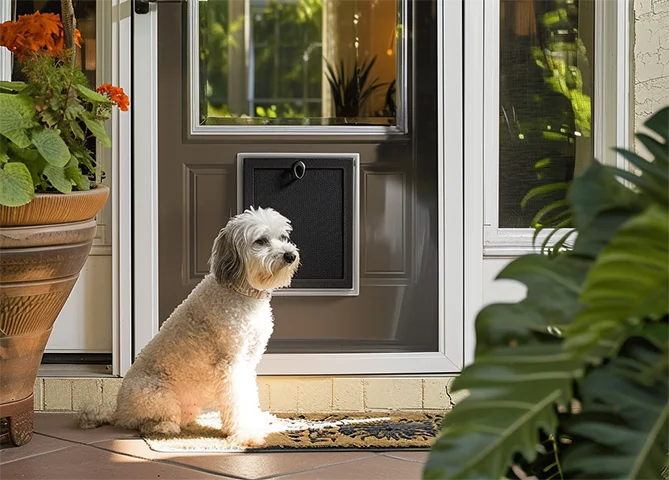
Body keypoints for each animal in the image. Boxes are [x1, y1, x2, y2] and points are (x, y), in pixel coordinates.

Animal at [79, 207, 298, 446]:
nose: (290, 255)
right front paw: (245, 433)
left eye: (283, 237)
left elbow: (250, 395)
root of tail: (118, 412)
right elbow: (237, 399)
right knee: (148, 424)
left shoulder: (248, 361)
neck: (239, 290)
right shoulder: (231, 363)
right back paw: (165, 428)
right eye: (261, 241)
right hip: (158, 396)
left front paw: (257, 420)